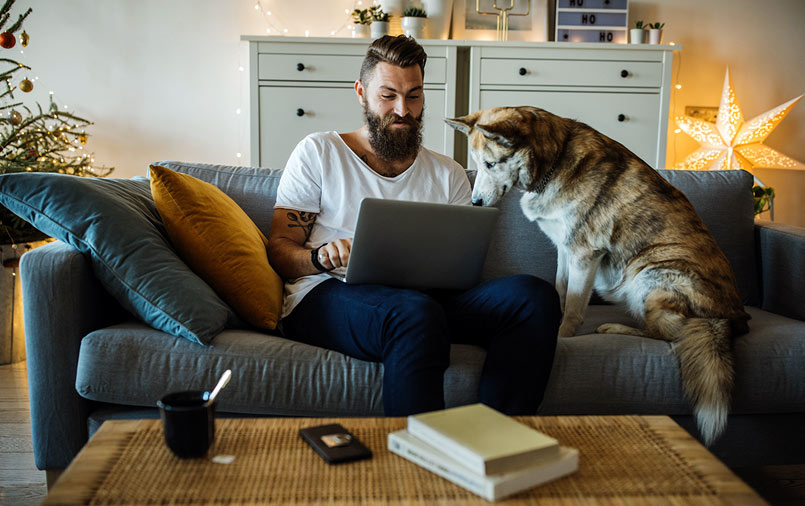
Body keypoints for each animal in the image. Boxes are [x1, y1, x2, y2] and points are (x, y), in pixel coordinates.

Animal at [446, 105, 748, 442]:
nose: (475, 203)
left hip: (649, 274)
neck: (554, 161)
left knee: (669, 335)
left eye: (490, 164)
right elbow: (561, 290)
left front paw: (562, 337)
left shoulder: (583, 253)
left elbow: (574, 308)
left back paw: (614, 327)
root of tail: (729, 318)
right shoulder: (564, 249)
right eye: (476, 165)